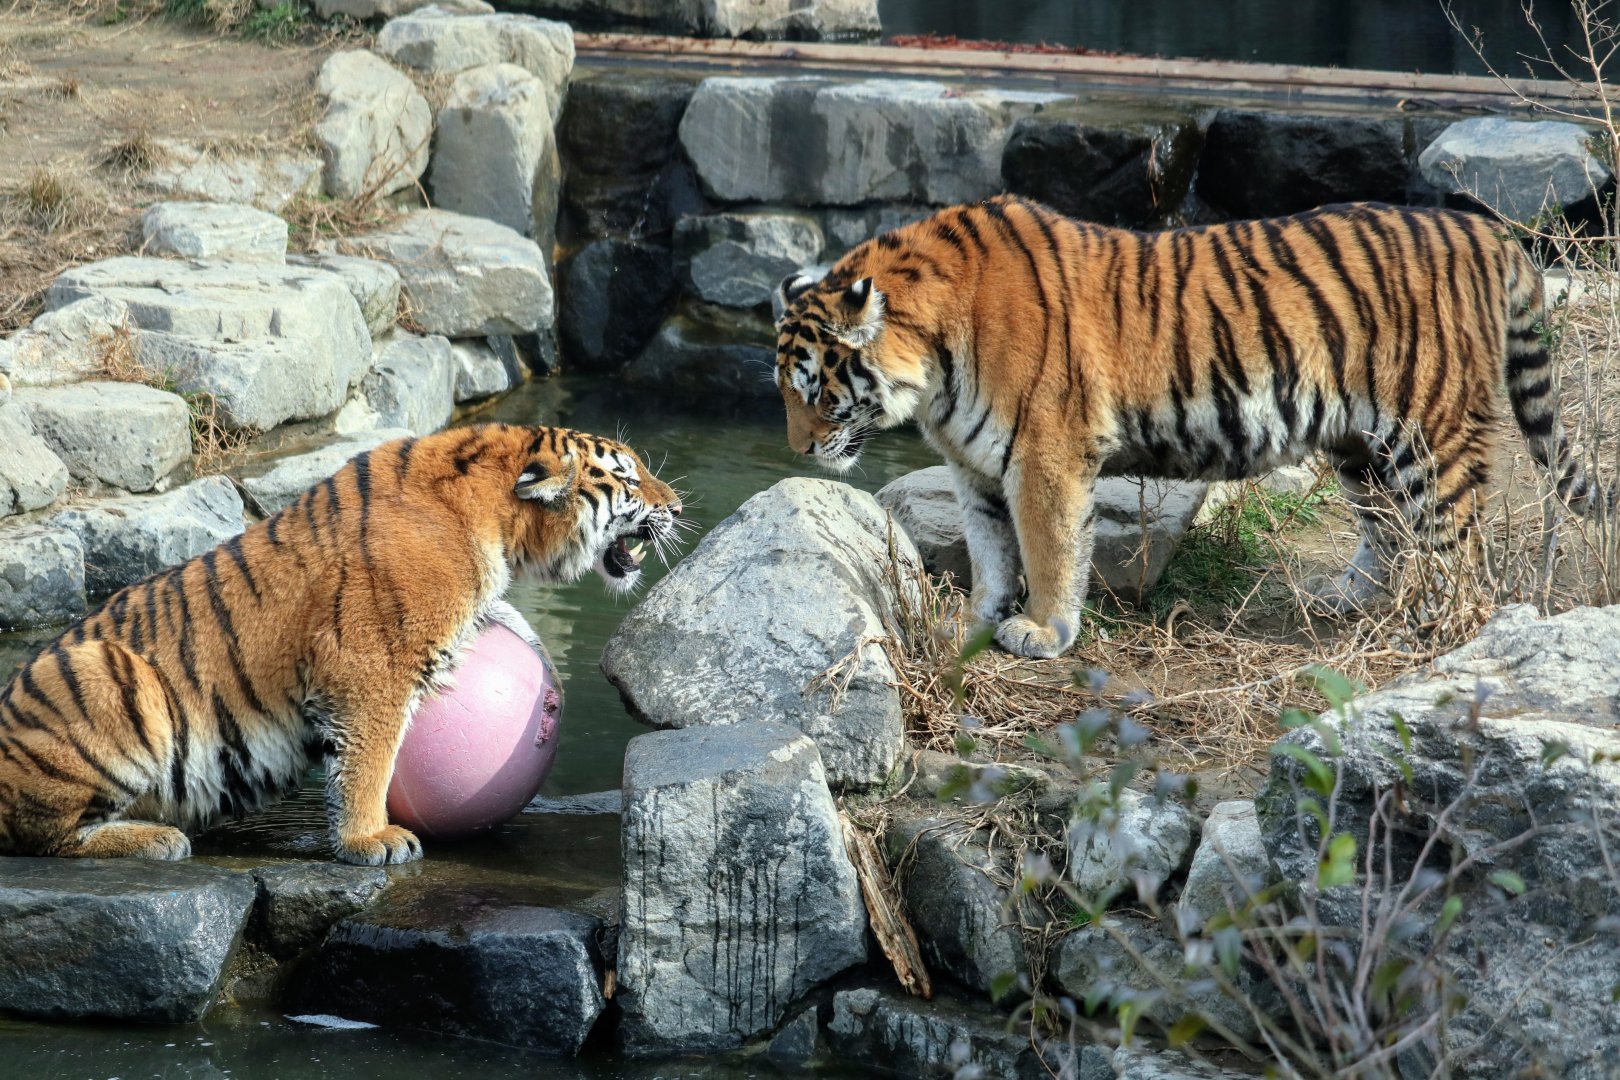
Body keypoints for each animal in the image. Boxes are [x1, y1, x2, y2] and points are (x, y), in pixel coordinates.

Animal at [0, 424, 682, 864]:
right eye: (627, 478)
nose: (676, 506)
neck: (500, 526)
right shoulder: (371, 666)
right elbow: (368, 759)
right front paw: (369, 840)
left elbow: (510, 620)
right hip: (107, 671)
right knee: (44, 836)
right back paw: (154, 839)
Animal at [774, 196, 1595, 659]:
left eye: (814, 389)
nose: (798, 449)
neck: (934, 367)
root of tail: (1488, 233)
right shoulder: (974, 468)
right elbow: (990, 553)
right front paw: (973, 622)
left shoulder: (1044, 454)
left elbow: (1048, 549)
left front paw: (1042, 632)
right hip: (1360, 439)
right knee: (1386, 524)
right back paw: (1349, 598)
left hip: (1433, 429)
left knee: (1458, 545)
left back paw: (1430, 628)